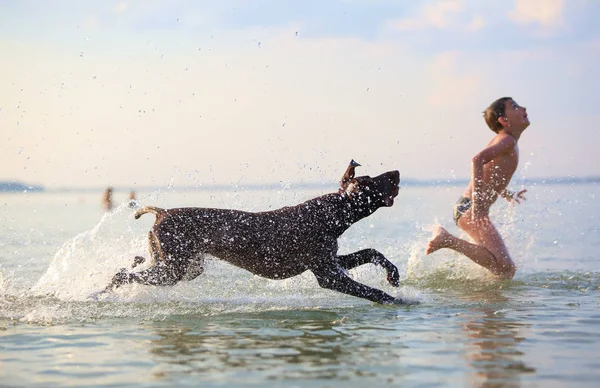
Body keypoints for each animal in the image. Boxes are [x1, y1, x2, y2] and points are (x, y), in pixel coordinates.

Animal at [96, 159, 410, 304]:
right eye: (370, 181)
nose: (397, 172)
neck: (328, 214)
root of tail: (161, 212)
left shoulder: (331, 261)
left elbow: (373, 252)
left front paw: (393, 274)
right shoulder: (328, 275)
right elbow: (376, 293)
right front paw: (403, 301)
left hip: (183, 267)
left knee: (125, 272)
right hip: (172, 270)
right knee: (121, 274)